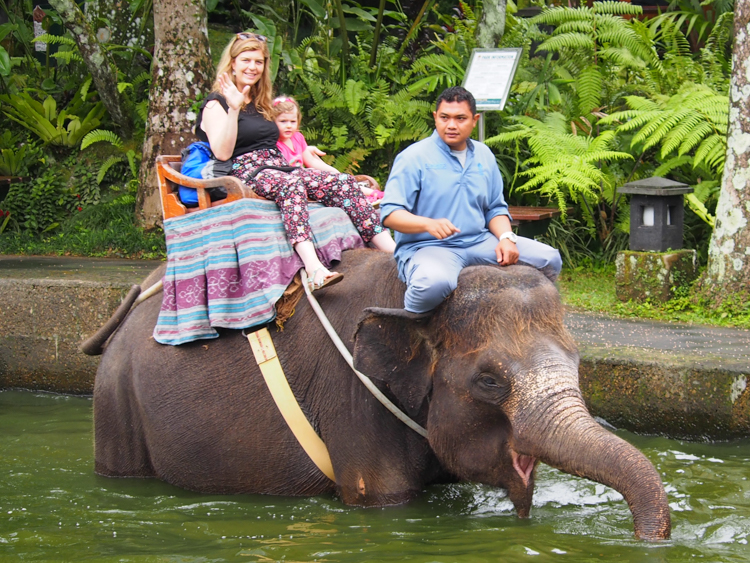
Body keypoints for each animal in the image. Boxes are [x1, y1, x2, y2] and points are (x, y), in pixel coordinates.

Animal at [85, 250, 672, 540]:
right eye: (489, 381)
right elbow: (381, 498)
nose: (650, 540)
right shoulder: (353, 397)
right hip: (116, 402)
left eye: (577, 363)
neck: (409, 300)